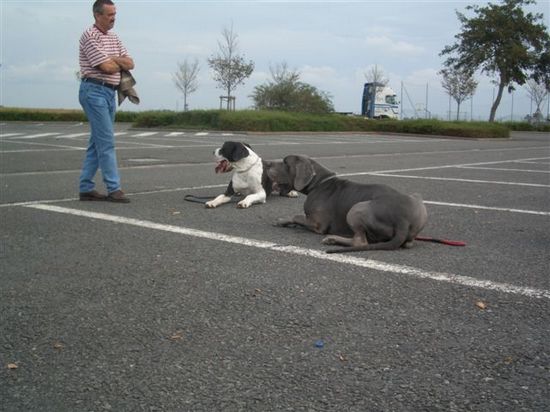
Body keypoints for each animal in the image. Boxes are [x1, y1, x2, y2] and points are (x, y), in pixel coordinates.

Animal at [264, 155, 428, 253]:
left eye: (285, 162)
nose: (267, 163)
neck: (319, 183)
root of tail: (402, 221)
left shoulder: (317, 224)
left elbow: (297, 216)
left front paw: (282, 220)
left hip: (357, 208)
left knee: (360, 242)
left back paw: (332, 239)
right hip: (419, 203)